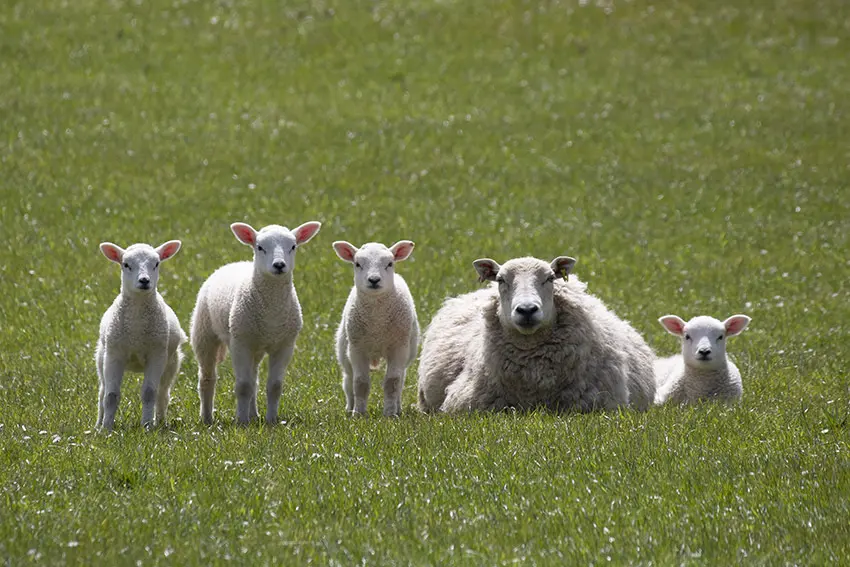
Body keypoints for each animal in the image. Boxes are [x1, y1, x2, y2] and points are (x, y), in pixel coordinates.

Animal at [95, 240, 186, 431]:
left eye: (156, 264)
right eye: (126, 264)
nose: (144, 280)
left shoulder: (156, 354)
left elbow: (149, 393)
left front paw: (147, 426)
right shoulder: (114, 354)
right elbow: (111, 395)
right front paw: (106, 429)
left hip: (171, 362)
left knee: (163, 394)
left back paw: (161, 422)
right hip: (101, 358)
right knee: (102, 391)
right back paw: (98, 424)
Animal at [190, 221, 321, 425]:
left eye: (293, 246)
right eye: (260, 247)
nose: (279, 265)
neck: (271, 313)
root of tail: (233, 263)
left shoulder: (285, 345)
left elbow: (274, 386)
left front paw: (271, 421)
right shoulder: (240, 343)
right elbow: (243, 386)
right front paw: (242, 423)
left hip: (256, 345)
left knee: (254, 379)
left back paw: (254, 415)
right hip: (204, 333)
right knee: (207, 378)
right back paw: (207, 418)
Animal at [332, 240, 419, 417]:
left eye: (390, 263)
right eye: (357, 264)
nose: (374, 279)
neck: (377, 323)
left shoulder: (398, 347)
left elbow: (393, 382)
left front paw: (390, 414)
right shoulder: (357, 348)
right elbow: (360, 383)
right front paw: (358, 414)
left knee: (401, 380)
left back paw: (398, 407)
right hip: (344, 351)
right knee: (348, 380)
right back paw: (349, 408)